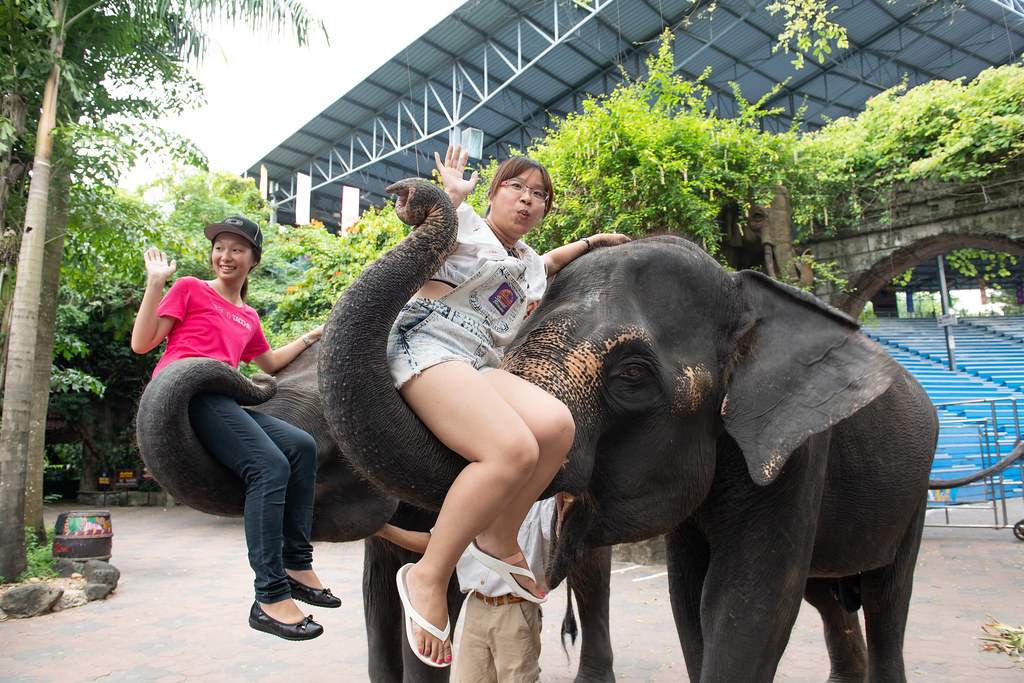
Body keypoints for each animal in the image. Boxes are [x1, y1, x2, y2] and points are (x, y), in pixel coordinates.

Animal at [317, 179, 937, 683]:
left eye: (633, 376)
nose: (406, 195)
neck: (742, 288)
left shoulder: (798, 450)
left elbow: (748, 601)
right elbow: (690, 598)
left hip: (916, 489)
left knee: (887, 597)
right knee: (830, 596)